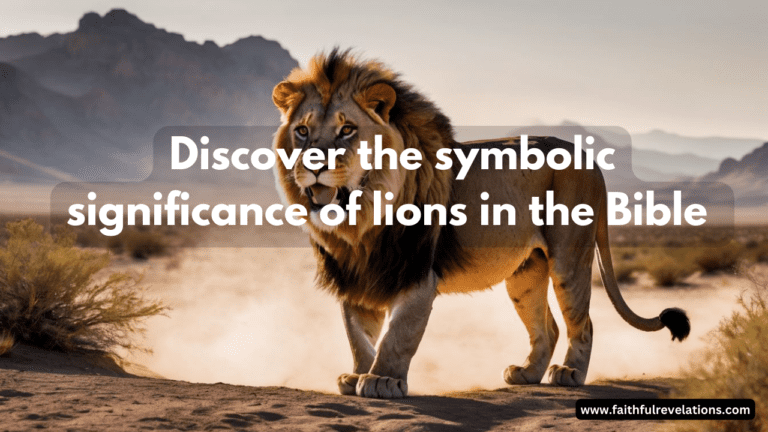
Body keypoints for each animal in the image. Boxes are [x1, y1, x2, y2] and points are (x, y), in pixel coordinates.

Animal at [271, 49, 690, 399]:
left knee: (581, 323)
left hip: (569, 258)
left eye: (347, 130)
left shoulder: (417, 273)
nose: (314, 165)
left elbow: (398, 334)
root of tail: (587, 157)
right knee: (548, 327)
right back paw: (527, 373)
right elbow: (357, 334)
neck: (359, 223)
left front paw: (382, 380)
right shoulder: (353, 274)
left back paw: (569, 373)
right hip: (525, 273)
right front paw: (358, 374)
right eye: (302, 131)